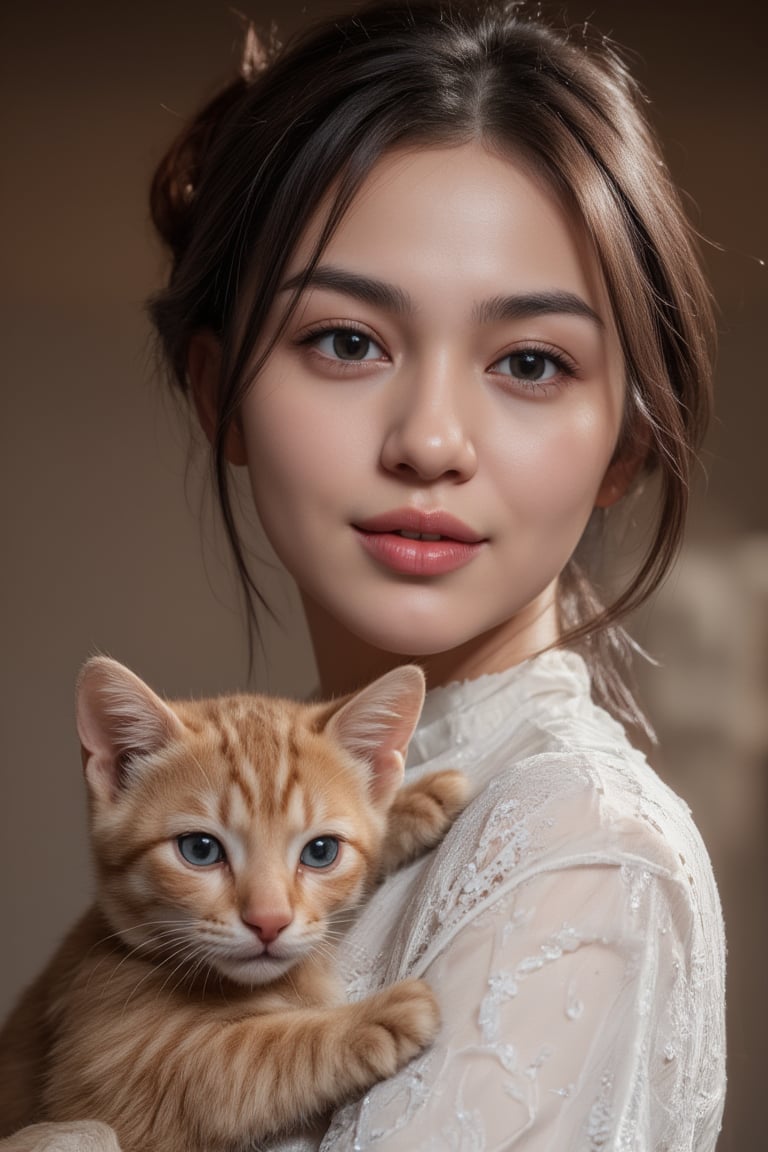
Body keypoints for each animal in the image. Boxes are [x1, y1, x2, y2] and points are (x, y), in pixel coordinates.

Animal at [0, 663, 465, 1147]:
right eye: (200, 849)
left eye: (321, 852)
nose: (269, 922)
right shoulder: (117, 1067)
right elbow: (245, 1056)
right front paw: (371, 1019)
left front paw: (413, 803)